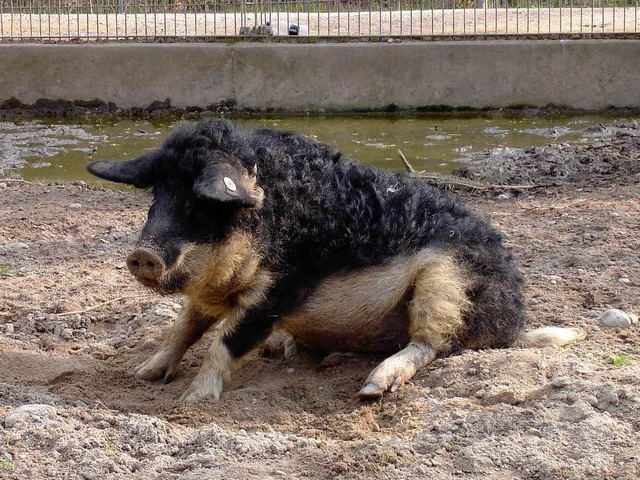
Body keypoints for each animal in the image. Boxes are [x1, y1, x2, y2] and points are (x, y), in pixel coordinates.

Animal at [89, 118, 584, 404]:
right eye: (158, 196)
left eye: (201, 204)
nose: (143, 254)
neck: (273, 213)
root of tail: (514, 323)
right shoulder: (212, 291)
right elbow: (184, 327)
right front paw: (143, 375)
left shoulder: (281, 287)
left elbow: (225, 341)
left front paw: (193, 402)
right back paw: (296, 350)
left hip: (448, 282)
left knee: (431, 343)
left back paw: (372, 387)